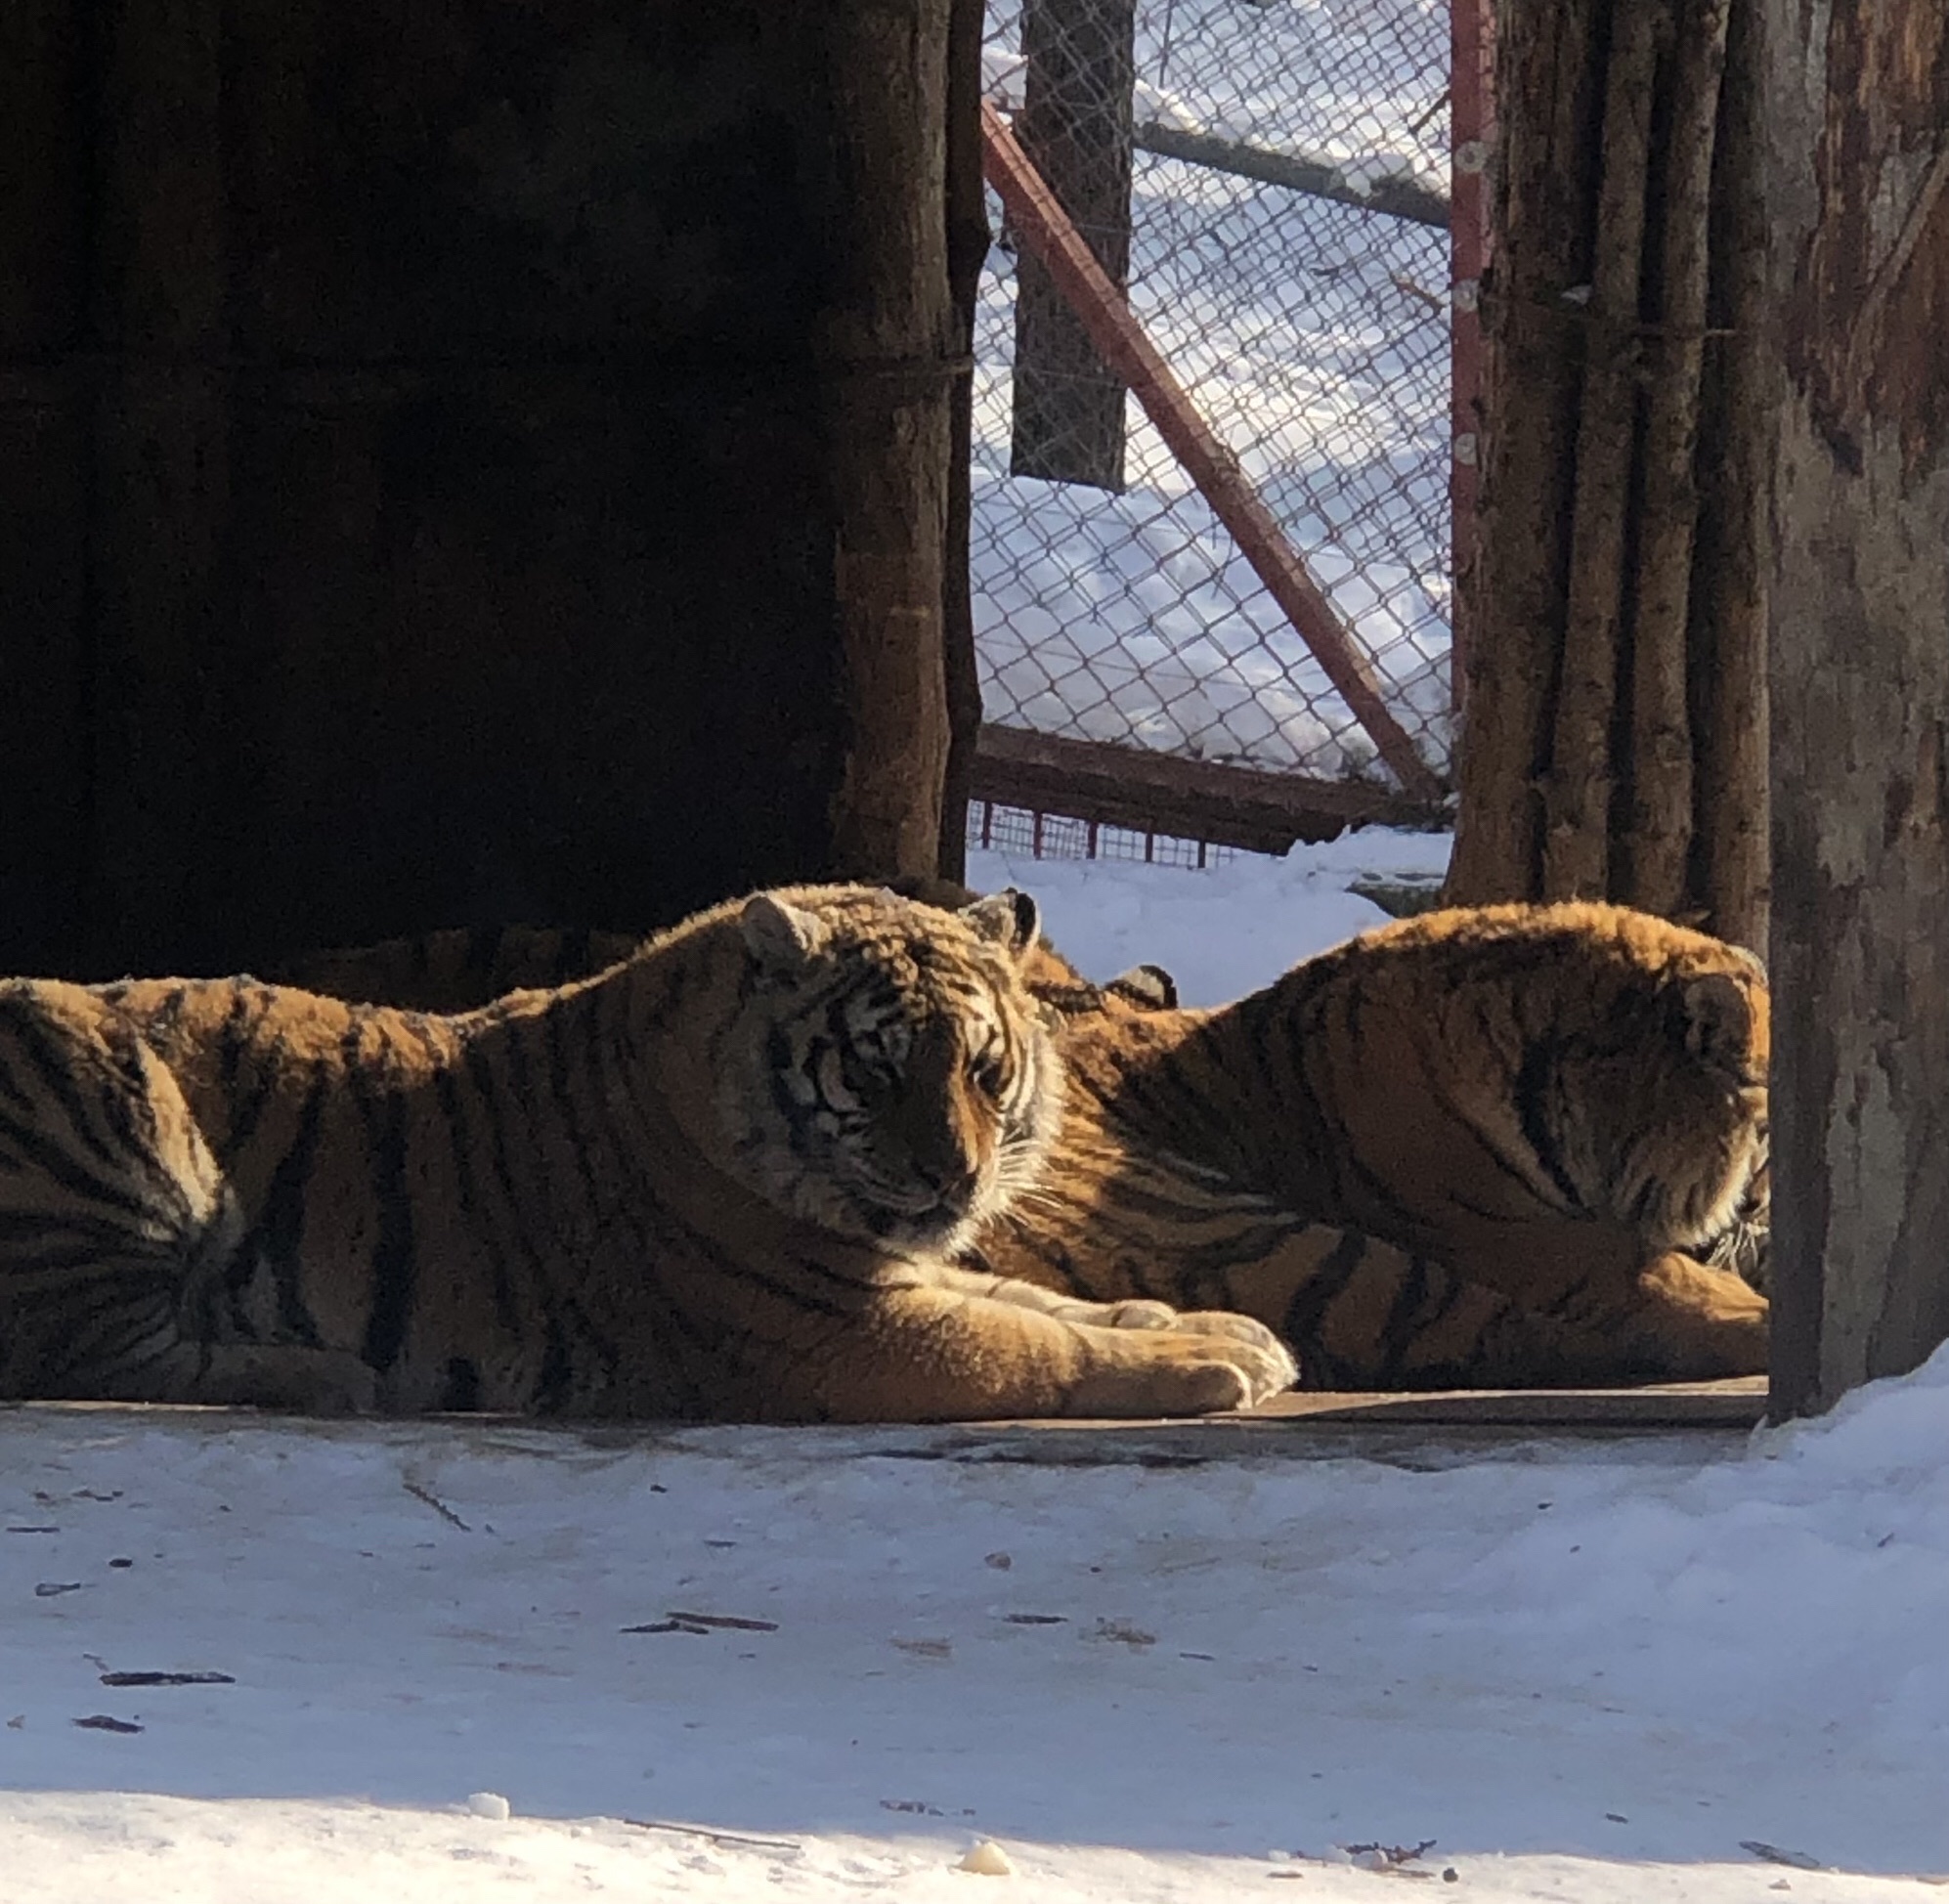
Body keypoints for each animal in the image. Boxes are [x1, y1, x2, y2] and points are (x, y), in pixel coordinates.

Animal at [0, 884, 1295, 1422]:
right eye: (876, 1070)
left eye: (982, 1069)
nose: (955, 1179)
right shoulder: (839, 1329)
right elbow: (1036, 1346)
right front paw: (1208, 1363)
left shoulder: (895, 1274)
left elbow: (1046, 1299)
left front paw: (1210, 1327)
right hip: (98, 1087)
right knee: (84, 1356)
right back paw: (325, 1377)